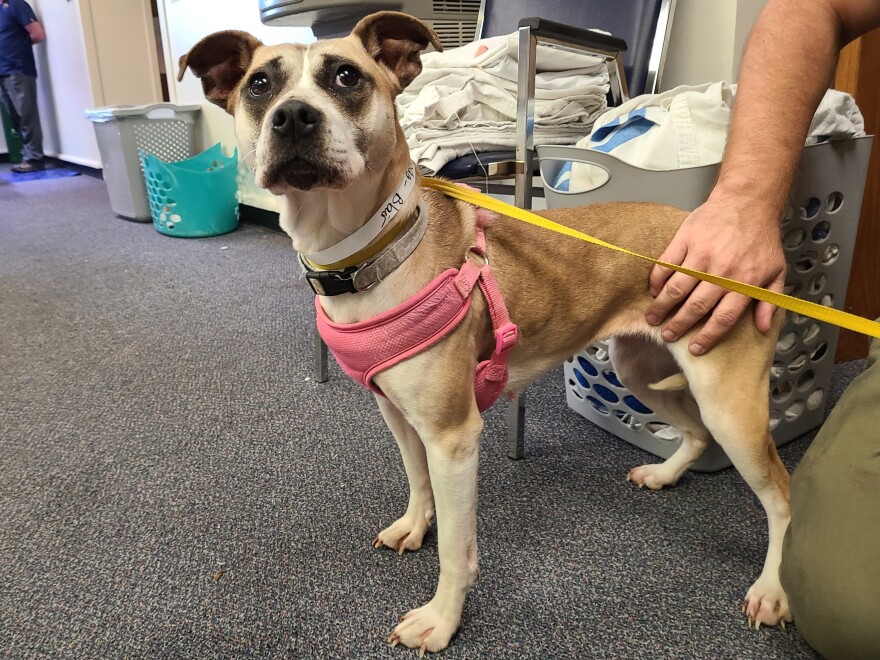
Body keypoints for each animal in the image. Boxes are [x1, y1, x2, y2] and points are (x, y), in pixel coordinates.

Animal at [179, 11, 792, 656]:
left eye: (346, 76)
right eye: (259, 85)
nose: (293, 115)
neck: (370, 254)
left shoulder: (454, 437)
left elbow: (456, 547)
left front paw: (441, 619)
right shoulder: (398, 414)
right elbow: (416, 480)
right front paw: (414, 525)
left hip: (730, 400)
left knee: (781, 494)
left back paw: (772, 589)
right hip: (642, 368)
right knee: (695, 434)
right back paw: (666, 473)